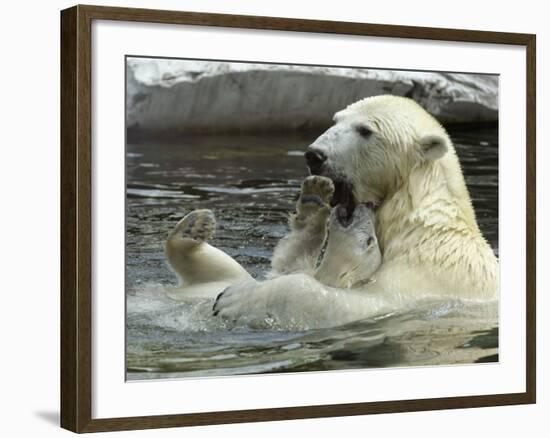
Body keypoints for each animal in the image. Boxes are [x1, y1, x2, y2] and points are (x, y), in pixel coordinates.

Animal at [168, 95, 500, 328]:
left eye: (365, 130)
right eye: (336, 119)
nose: (314, 155)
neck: (415, 221)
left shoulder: (426, 279)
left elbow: (350, 303)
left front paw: (236, 299)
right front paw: (313, 201)